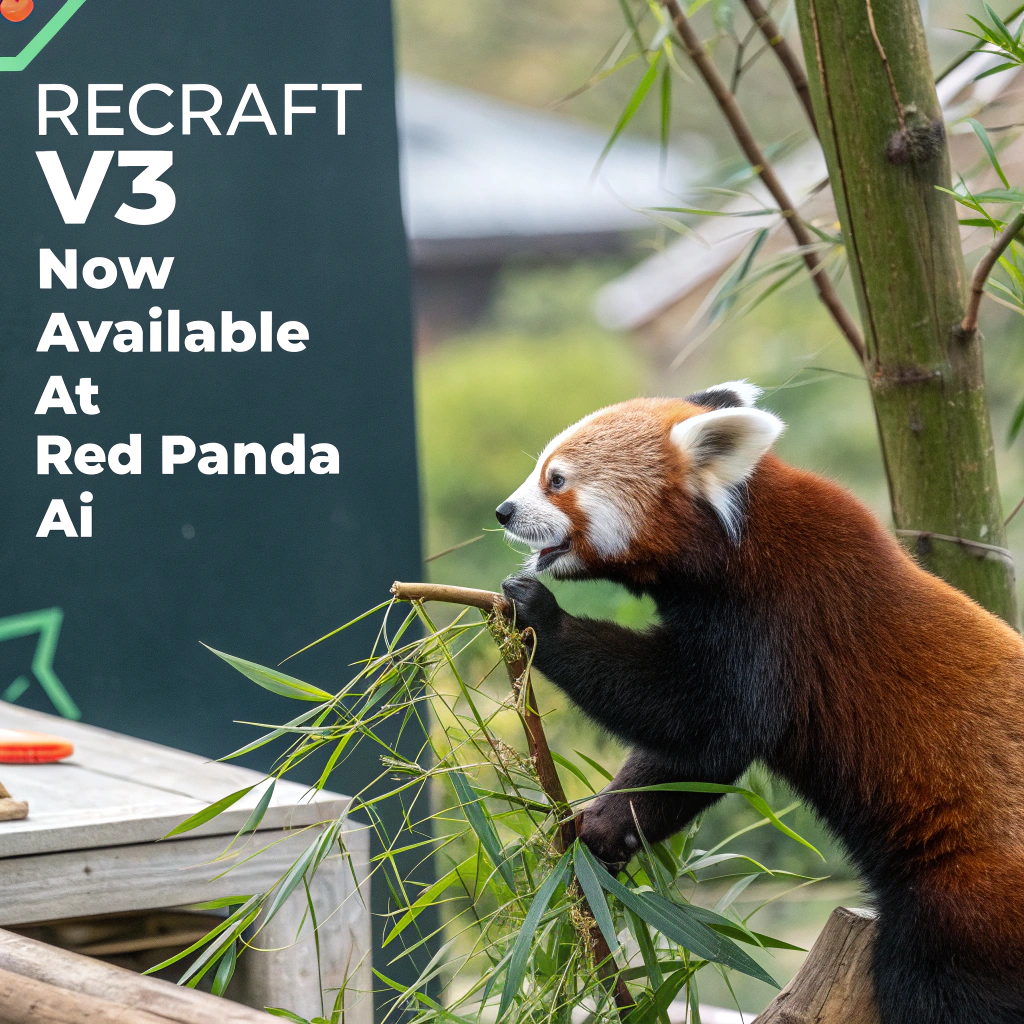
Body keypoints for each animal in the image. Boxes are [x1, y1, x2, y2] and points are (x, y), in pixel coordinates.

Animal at [496, 384, 1024, 1024]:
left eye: (556, 480)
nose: (503, 512)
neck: (735, 540)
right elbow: (695, 761)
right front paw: (603, 829)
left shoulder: (780, 620)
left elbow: (702, 721)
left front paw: (541, 617)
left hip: (965, 896)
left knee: (936, 984)